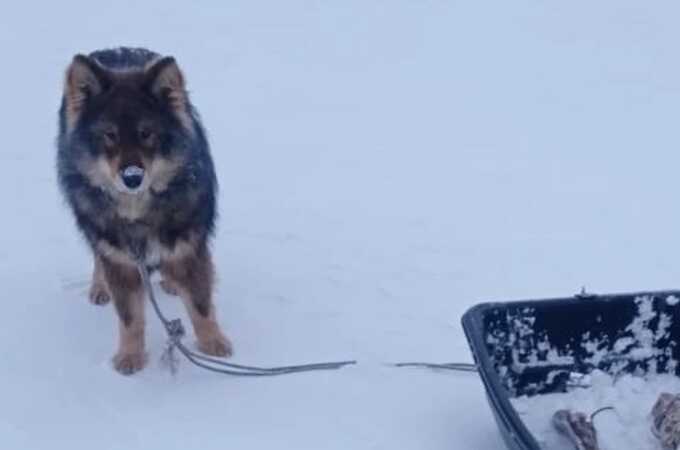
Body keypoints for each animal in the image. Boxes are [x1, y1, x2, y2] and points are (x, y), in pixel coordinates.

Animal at [55, 47, 231, 374]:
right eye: (109, 134)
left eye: (146, 133)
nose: (132, 177)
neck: (138, 210)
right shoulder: (119, 259)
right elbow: (130, 318)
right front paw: (130, 357)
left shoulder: (189, 247)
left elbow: (201, 305)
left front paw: (214, 344)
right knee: (97, 256)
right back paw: (99, 287)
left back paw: (171, 283)